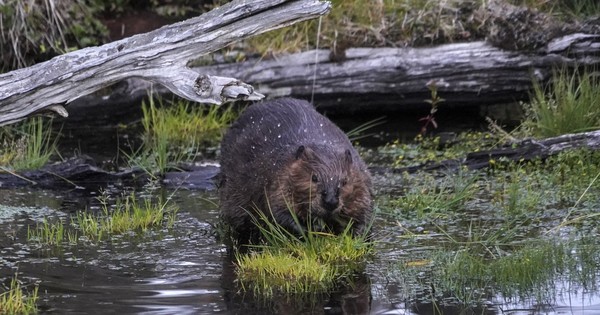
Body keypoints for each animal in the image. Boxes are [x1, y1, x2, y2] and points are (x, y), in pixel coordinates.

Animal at [218, 98, 372, 244]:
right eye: (314, 178)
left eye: (345, 181)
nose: (330, 201)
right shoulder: (277, 178)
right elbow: (278, 213)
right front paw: (311, 230)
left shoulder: (361, 179)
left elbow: (364, 214)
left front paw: (356, 234)